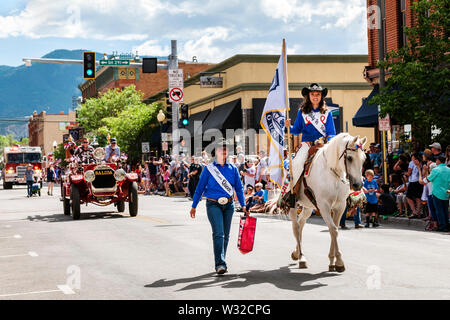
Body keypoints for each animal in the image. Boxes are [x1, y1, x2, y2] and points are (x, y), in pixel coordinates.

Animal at [284, 132, 366, 272]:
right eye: (349, 158)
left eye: (364, 158)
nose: (358, 185)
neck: (333, 173)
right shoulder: (323, 206)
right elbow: (333, 230)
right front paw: (339, 261)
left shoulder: (340, 206)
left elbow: (335, 230)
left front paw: (332, 261)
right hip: (293, 205)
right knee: (295, 226)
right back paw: (301, 257)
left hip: (308, 207)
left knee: (301, 224)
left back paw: (297, 253)